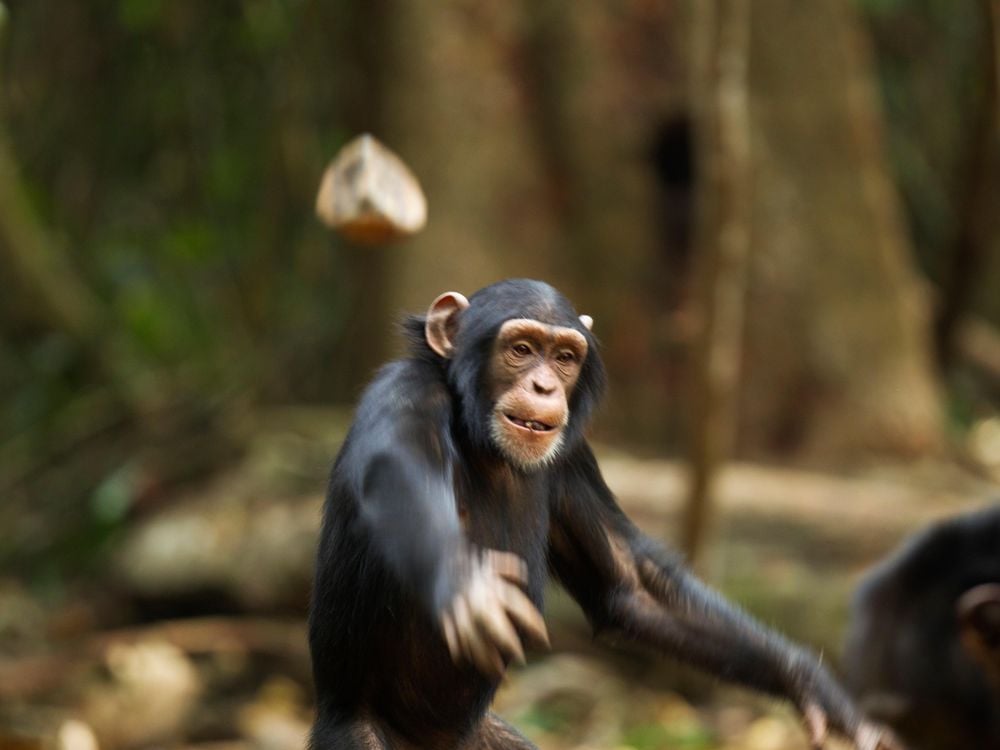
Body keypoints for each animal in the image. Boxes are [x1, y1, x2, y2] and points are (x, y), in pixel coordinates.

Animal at [306, 280, 900, 750]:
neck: (484, 442)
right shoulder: (404, 401)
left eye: (565, 358)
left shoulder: (573, 458)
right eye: (521, 349)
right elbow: (398, 482)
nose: (544, 385)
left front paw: (812, 685)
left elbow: (627, 584)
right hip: (355, 733)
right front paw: (465, 584)